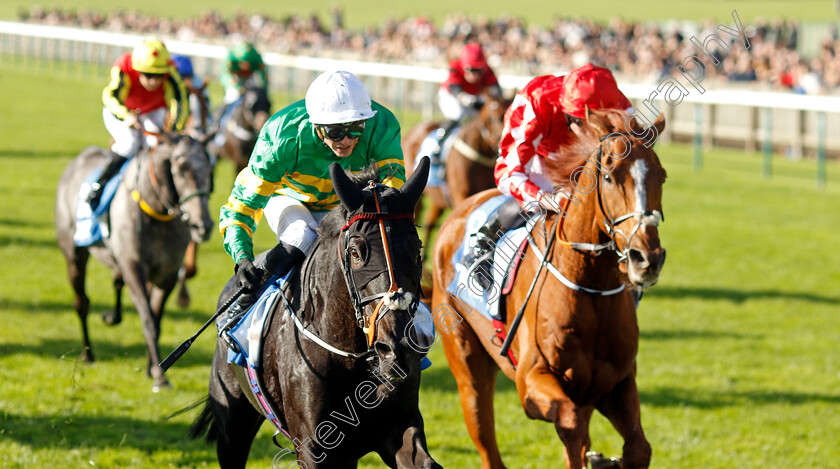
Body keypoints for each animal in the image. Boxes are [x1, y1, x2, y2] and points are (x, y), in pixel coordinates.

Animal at [55, 135, 213, 392]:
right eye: (180, 169)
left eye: (209, 169)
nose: (203, 226)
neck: (157, 213)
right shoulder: (134, 268)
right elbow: (148, 320)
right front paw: (160, 378)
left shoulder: (167, 274)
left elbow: (156, 320)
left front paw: (153, 368)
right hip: (75, 256)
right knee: (82, 303)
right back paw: (88, 354)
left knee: (116, 283)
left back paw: (112, 317)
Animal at [189, 158, 440, 468]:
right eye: (356, 252)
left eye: (417, 250)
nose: (396, 349)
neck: (351, 358)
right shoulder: (312, 447)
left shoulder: (398, 426)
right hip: (232, 420)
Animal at [430, 110, 668, 468]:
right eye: (609, 177)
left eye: (662, 177)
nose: (647, 258)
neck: (591, 288)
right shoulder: (531, 382)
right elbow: (571, 424)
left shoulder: (616, 383)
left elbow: (638, 448)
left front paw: (605, 459)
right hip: (467, 365)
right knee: (485, 436)